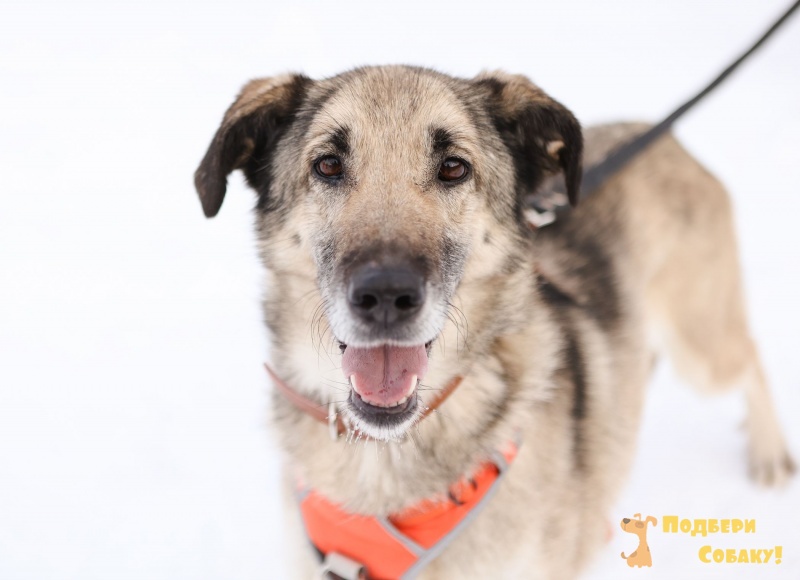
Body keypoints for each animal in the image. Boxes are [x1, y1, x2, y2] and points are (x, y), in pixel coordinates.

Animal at [194, 65, 794, 579]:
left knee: (750, 357)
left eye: (454, 167)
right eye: (327, 165)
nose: (386, 295)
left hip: (702, 348)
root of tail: (658, 134)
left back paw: (769, 452)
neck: (389, 454)